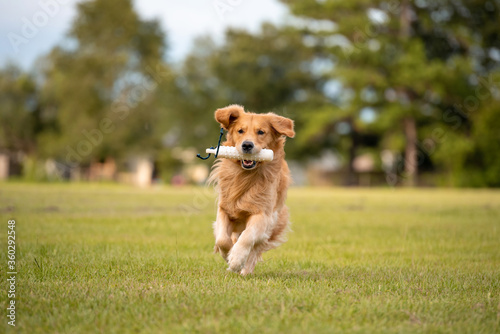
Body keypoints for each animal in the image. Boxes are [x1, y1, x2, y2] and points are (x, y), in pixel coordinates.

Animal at [208, 104, 294, 274]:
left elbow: (248, 237)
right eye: (240, 130)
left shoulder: (263, 215)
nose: (247, 145)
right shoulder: (224, 208)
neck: (245, 176)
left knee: (254, 249)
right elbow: (222, 239)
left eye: (261, 132)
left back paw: (245, 270)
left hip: (273, 221)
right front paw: (228, 254)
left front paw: (236, 259)